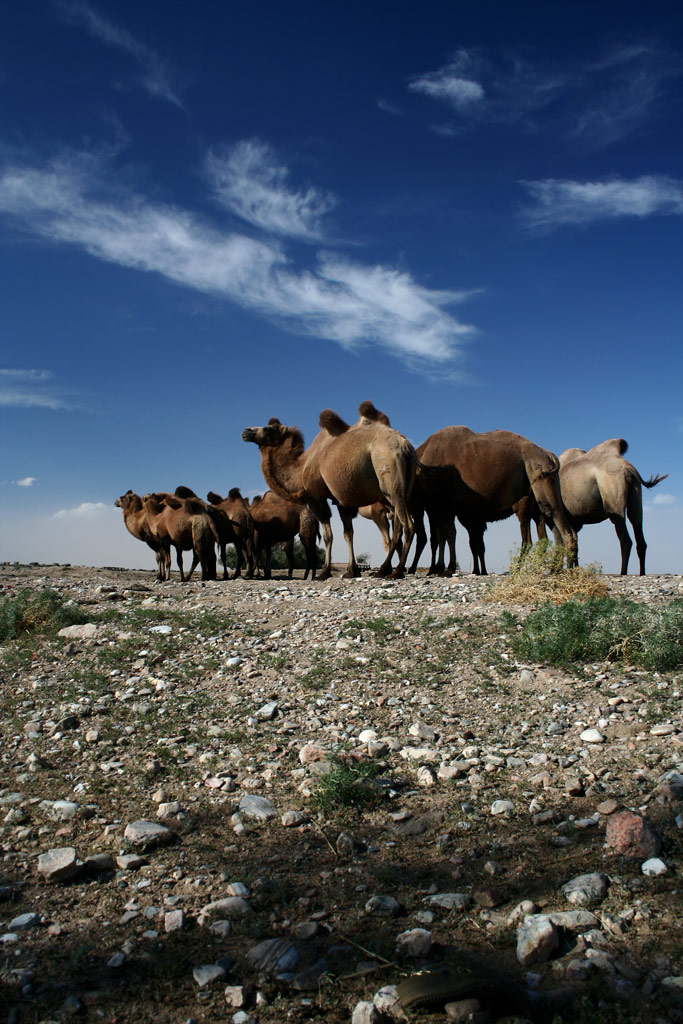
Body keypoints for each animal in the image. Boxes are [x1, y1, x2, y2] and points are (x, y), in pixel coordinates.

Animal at [242, 397, 419, 577]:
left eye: (268, 429)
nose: (246, 431)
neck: (301, 469)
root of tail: (405, 446)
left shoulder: (316, 497)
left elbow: (328, 536)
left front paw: (324, 572)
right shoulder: (341, 500)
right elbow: (348, 534)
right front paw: (352, 571)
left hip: (390, 480)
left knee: (408, 526)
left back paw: (396, 571)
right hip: (396, 491)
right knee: (398, 528)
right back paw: (384, 570)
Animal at [409, 425, 581, 577]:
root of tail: (549, 455)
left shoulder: (444, 502)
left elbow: (448, 534)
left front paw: (446, 569)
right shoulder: (443, 507)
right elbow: (445, 536)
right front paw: (440, 568)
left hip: (539, 478)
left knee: (554, 523)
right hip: (545, 486)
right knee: (553, 531)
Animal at [516, 436, 663, 573]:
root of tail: (628, 467)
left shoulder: (553, 515)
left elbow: (561, 542)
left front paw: (557, 570)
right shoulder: (573, 521)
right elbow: (573, 541)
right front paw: (571, 569)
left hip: (612, 497)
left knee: (625, 539)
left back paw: (622, 573)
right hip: (636, 494)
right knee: (638, 530)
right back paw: (642, 573)